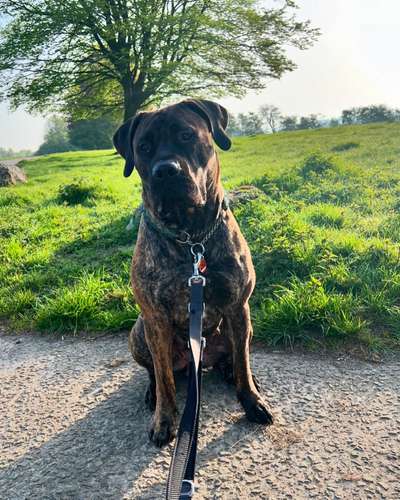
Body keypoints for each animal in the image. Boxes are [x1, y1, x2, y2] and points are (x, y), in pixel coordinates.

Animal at [114, 99, 274, 448]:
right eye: (144, 147)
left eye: (187, 135)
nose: (165, 171)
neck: (191, 237)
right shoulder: (155, 318)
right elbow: (164, 378)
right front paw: (164, 419)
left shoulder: (238, 306)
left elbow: (243, 363)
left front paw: (251, 400)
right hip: (139, 331)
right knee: (157, 371)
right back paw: (152, 393)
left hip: (244, 325)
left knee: (235, 356)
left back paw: (233, 372)